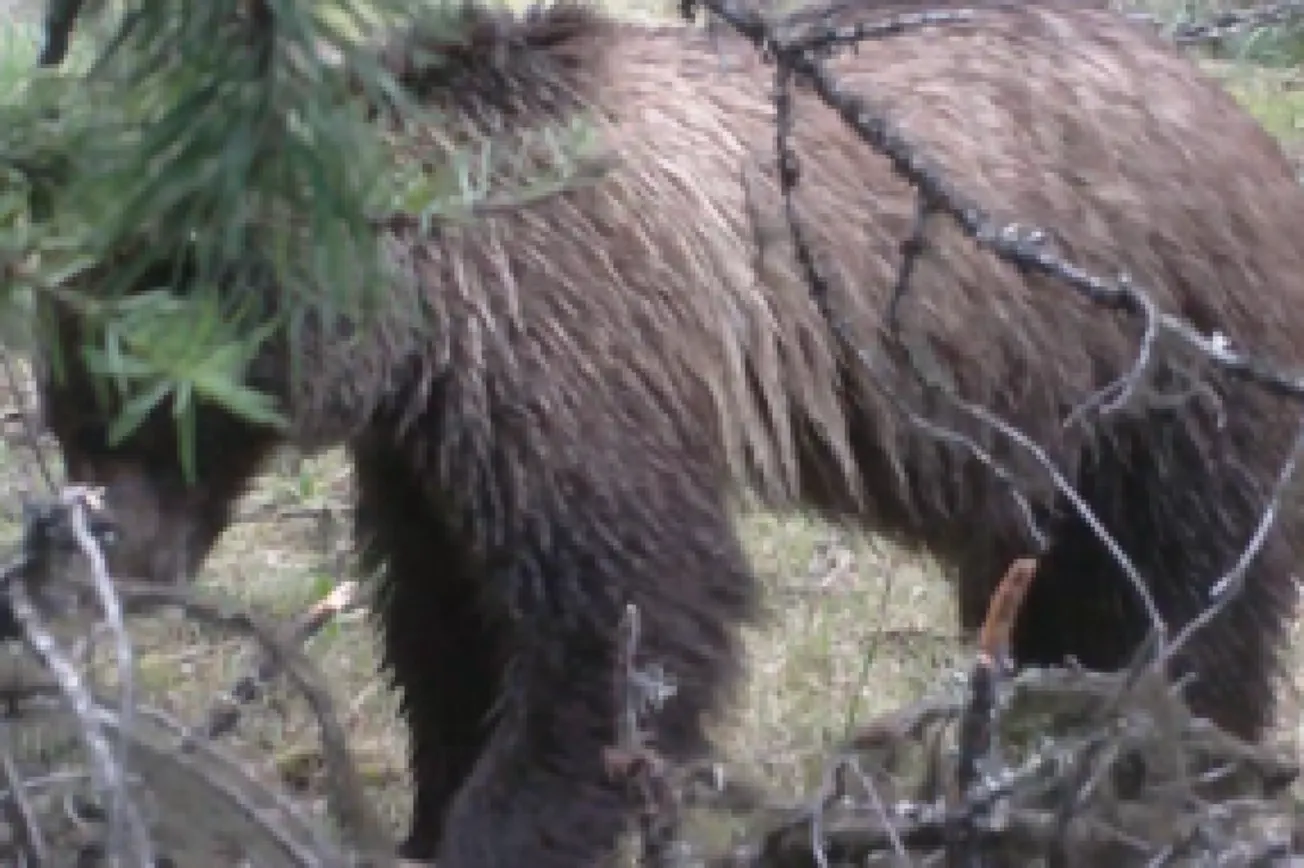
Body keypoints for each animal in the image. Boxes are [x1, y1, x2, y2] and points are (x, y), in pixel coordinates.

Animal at [31, 0, 1304, 865]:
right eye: (69, 407)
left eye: (133, 413)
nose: (107, 561)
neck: (423, 297)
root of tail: (1243, 125)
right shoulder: (431, 441)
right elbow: (446, 621)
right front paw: (435, 800)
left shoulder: (567, 339)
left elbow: (626, 605)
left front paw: (505, 825)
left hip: (1160, 361)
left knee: (1173, 599)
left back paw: (1156, 777)